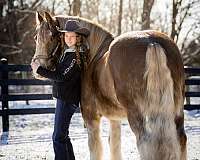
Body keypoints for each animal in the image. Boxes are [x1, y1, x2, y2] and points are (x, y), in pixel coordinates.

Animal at [32, 11, 187, 160]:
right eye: (36, 37)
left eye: (52, 36)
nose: (38, 66)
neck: (92, 57)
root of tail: (152, 41)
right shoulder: (114, 118)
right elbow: (114, 145)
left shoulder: (91, 118)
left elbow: (96, 149)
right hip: (177, 111)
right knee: (181, 139)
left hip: (138, 116)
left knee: (145, 144)